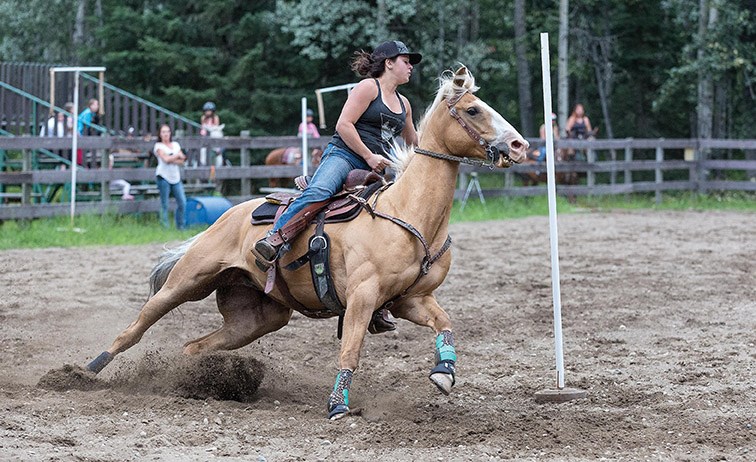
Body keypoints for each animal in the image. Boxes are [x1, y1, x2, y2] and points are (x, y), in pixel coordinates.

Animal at [82, 66, 528, 422]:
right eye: (473, 110)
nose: (520, 145)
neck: (409, 214)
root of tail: (226, 216)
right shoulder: (363, 297)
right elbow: (350, 351)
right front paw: (338, 406)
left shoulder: (410, 299)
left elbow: (446, 323)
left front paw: (444, 373)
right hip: (187, 282)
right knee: (136, 327)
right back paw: (87, 370)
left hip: (256, 318)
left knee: (195, 346)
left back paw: (196, 381)